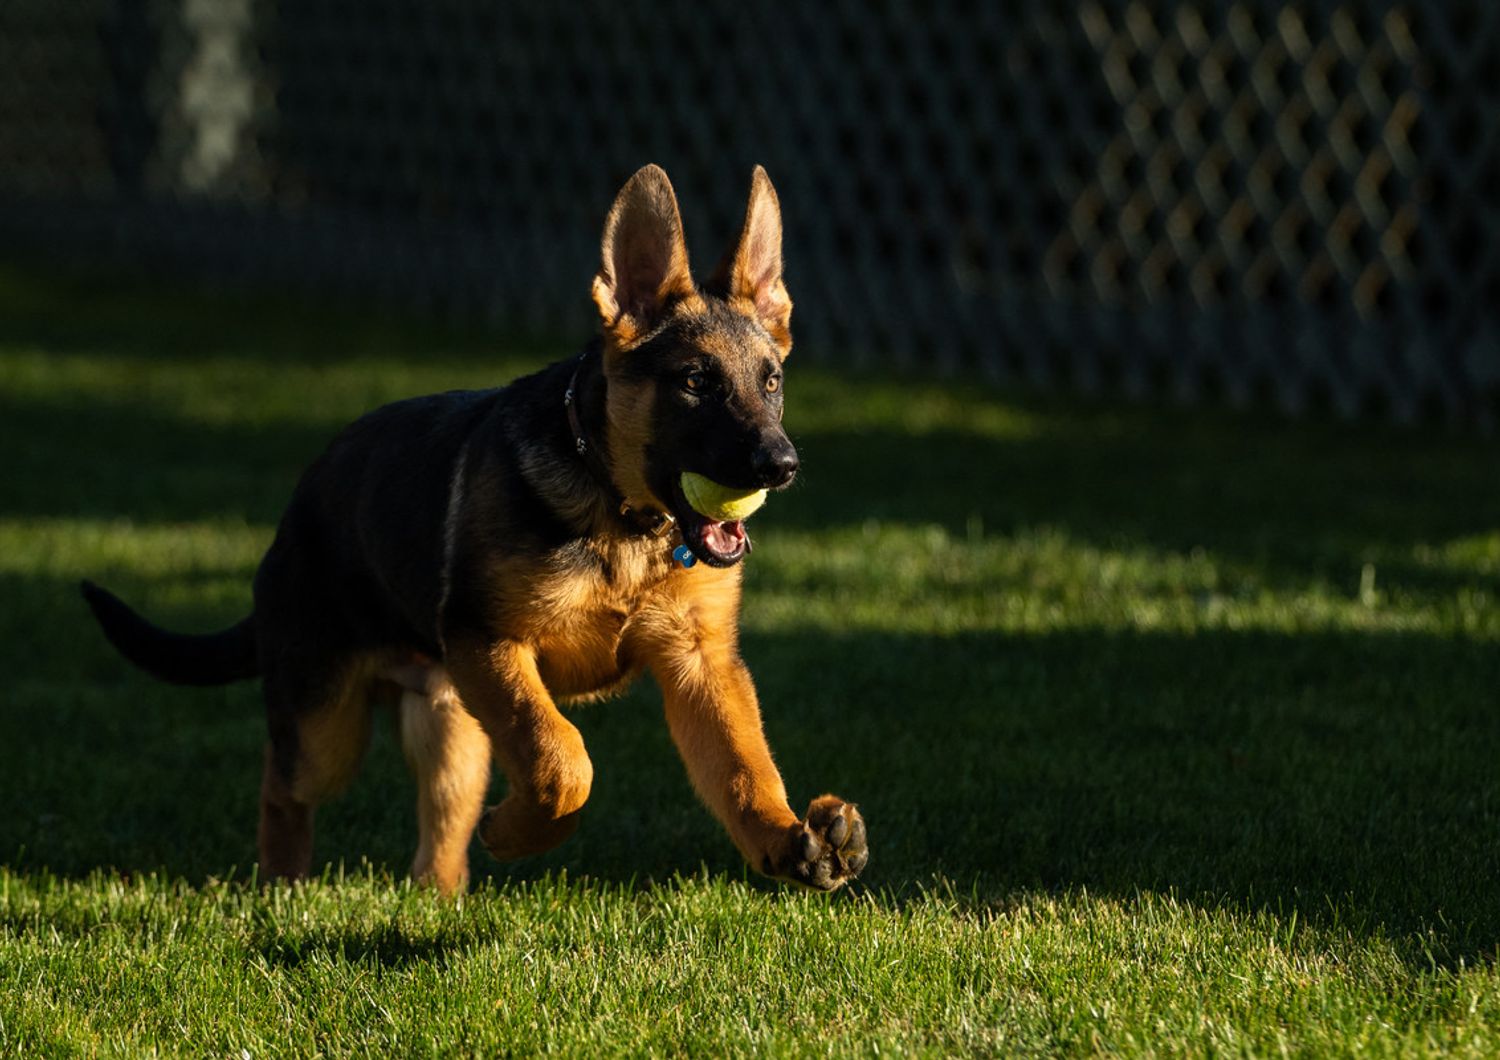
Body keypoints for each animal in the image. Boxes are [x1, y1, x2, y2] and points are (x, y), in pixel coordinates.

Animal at [85, 165, 870, 893]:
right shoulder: (491, 642)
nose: (782, 465)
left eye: (771, 381)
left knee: (438, 832)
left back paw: (439, 897)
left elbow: (743, 767)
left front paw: (789, 840)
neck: (622, 520)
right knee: (283, 785)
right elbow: (563, 756)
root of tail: (294, 513)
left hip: (451, 726)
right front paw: (521, 832)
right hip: (327, 724)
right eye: (695, 382)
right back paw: (283, 885)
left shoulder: (700, 663)